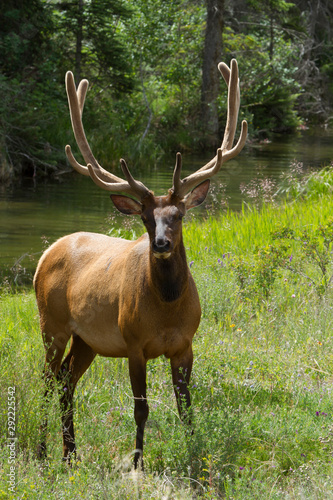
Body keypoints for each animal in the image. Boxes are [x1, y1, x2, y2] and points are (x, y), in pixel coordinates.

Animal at [34, 58, 246, 468]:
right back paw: (41, 452)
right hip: (52, 323)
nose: (161, 243)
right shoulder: (133, 342)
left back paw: (71, 454)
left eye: (178, 215)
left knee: (66, 381)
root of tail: (46, 254)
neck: (165, 312)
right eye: (146, 218)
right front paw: (136, 463)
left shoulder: (185, 344)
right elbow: (141, 409)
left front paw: (194, 456)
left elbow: (186, 409)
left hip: (87, 339)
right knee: (49, 380)